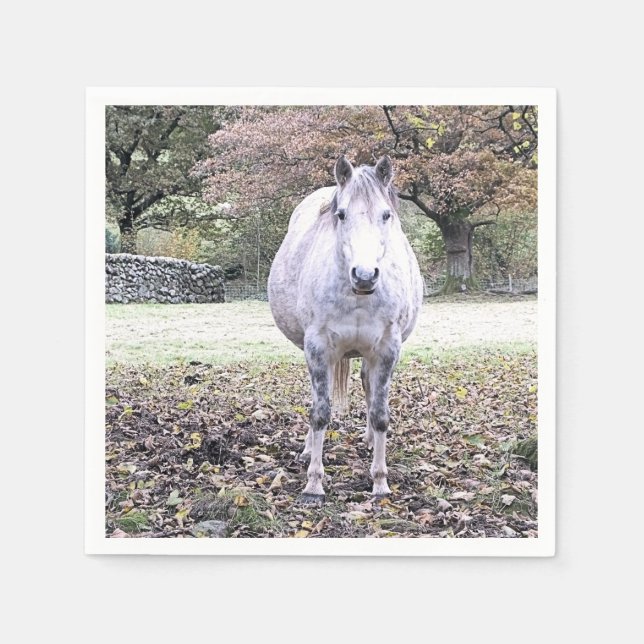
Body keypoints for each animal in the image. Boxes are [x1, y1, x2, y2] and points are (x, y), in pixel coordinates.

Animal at [268, 155, 424, 501]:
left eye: (386, 214)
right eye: (341, 214)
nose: (365, 276)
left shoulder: (387, 349)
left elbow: (380, 414)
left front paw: (380, 482)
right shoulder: (318, 348)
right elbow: (320, 412)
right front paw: (314, 484)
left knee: (367, 385)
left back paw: (368, 440)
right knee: (318, 396)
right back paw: (308, 448)